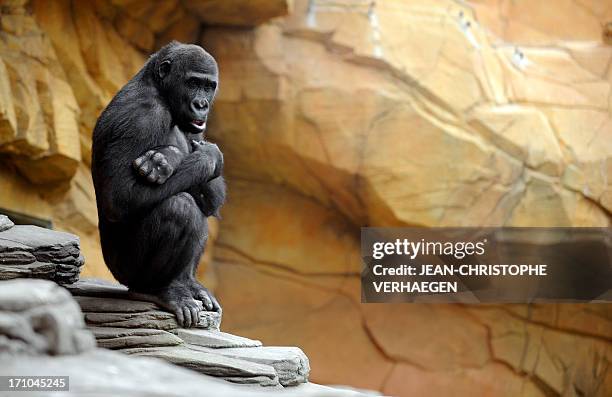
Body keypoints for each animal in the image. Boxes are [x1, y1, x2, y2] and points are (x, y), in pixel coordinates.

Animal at [91, 40, 225, 326]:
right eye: (193, 82)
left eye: (209, 86)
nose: (202, 104)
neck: (160, 91)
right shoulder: (142, 115)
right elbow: (119, 197)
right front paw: (186, 158)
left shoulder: (194, 127)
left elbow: (212, 198)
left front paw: (205, 157)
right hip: (123, 271)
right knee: (180, 207)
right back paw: (159, 290)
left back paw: (188, 283)